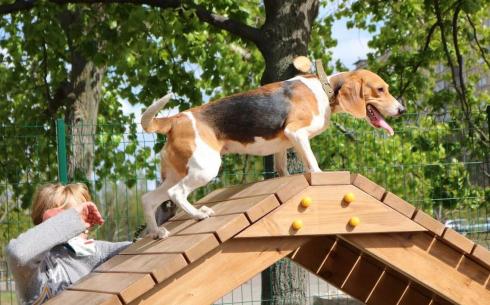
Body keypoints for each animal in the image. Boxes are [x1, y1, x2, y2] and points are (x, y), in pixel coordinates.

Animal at [140, 67, 404, 238]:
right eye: (380, 89)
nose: (402, 109)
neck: (324, 89)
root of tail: (175, 119)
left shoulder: (284, 144)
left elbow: (282, 168)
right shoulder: (297, 132)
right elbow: (313, 163)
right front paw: (321, 176)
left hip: (177, 172)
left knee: (149, 199)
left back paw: (157, 232)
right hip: (205, 168)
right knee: (176, 193)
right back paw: (198, 215)